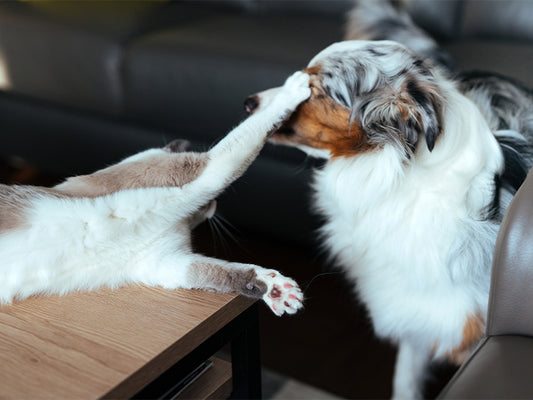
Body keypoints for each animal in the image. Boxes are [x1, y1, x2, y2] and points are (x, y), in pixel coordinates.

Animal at [0, 71, 312, 316]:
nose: (214, 205)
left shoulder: (165, 262)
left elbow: (226, 271)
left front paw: (278, 292)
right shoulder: (207, 174)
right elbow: (254, 129)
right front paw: (294, 87)